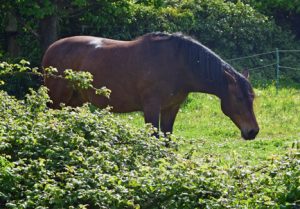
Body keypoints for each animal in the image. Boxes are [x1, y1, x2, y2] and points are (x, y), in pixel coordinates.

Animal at [42, 32, 260, 140]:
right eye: (238, 98)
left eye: (252, 98)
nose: (253, 131)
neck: (178, 64)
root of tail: (51, 48)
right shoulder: (151, 108)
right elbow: (154, 138)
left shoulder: (171, 108)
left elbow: (166, 139)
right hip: (57, 100)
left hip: (75, 101)